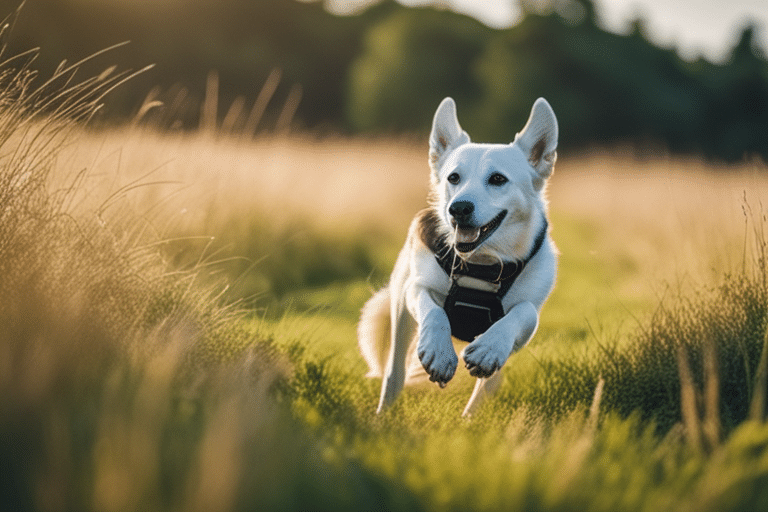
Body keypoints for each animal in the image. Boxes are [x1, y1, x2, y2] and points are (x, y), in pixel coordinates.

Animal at [356, 96, 560, 416]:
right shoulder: (415, 288)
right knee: (394, 373)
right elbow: (434, 311)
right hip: (400, 313)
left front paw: (490, 347)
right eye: (454, 177)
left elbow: (522, 312)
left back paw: (470, 417)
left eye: (498, 179)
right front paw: (439, 352)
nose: (458, 208)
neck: (480, 265)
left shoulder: (529, 319)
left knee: (488, 384)